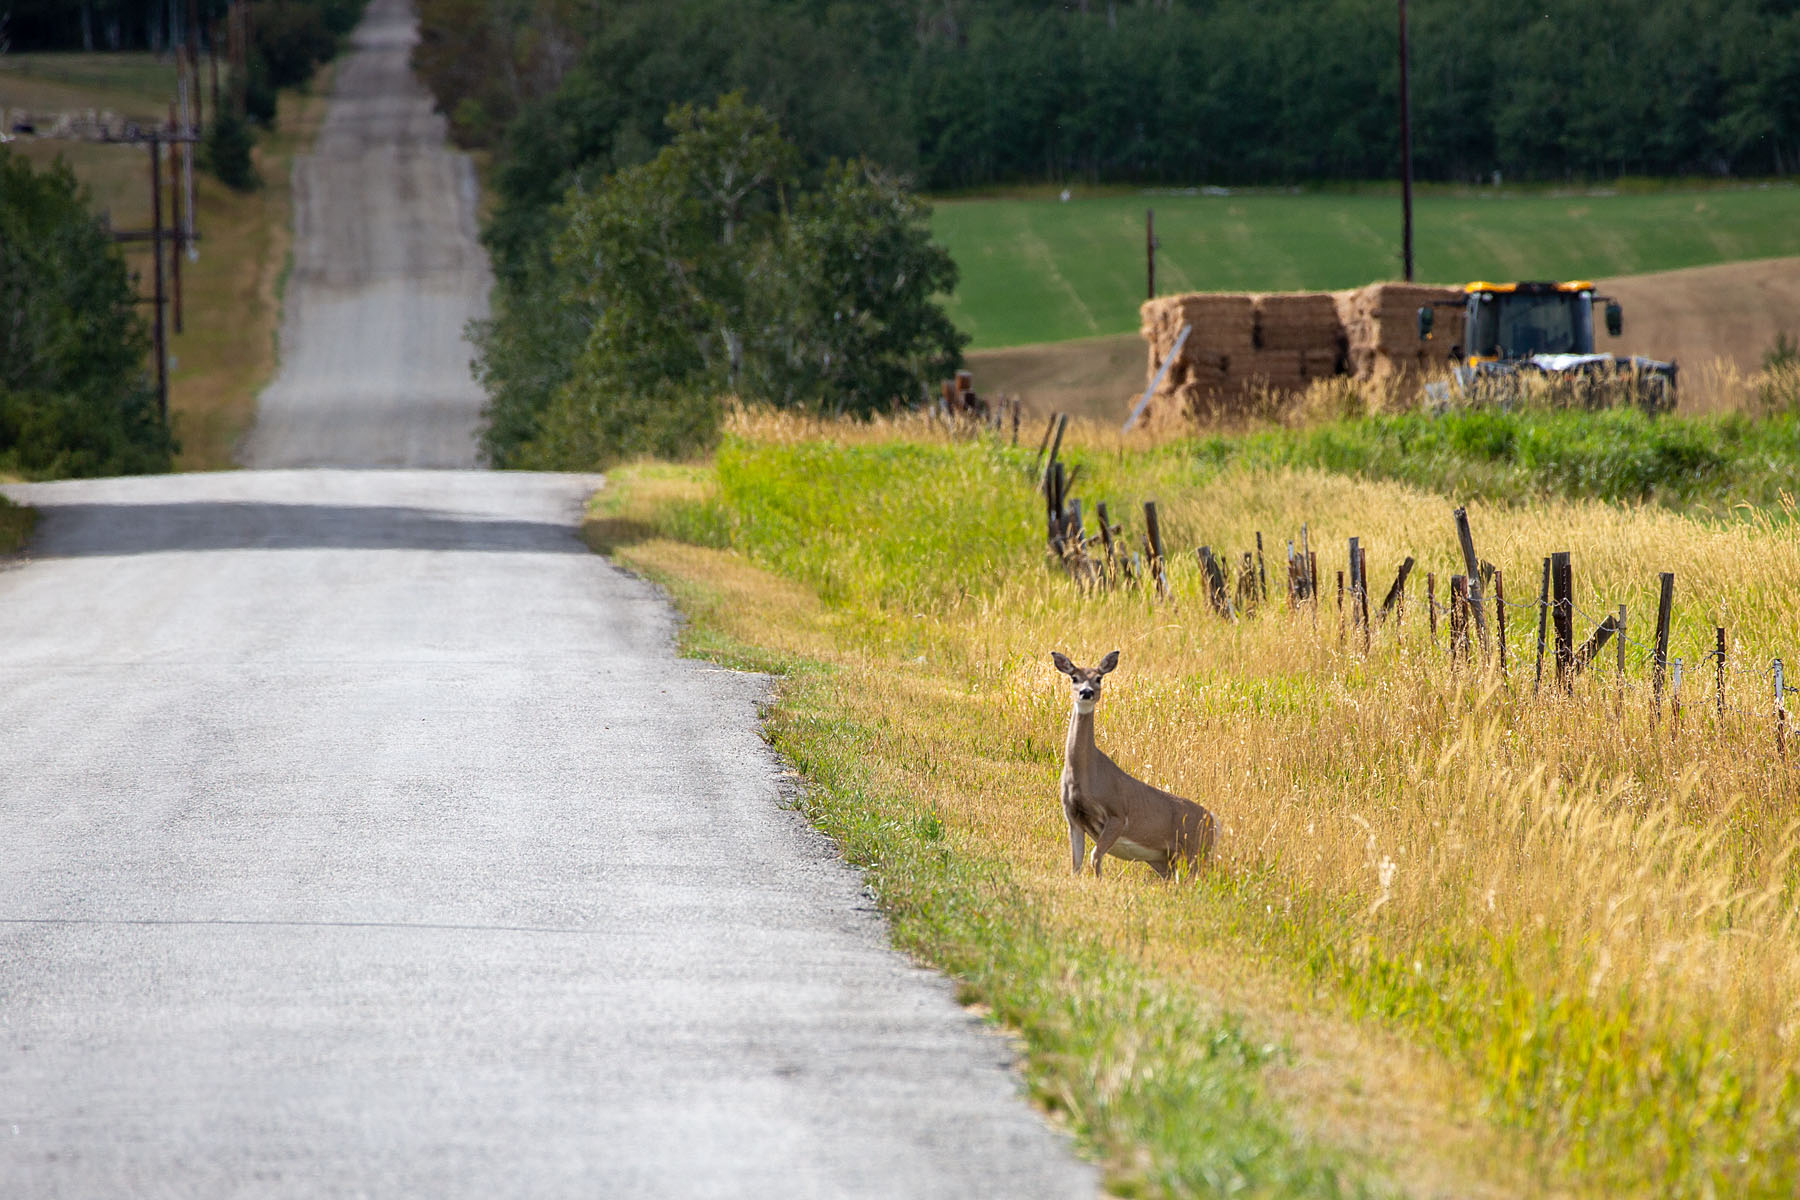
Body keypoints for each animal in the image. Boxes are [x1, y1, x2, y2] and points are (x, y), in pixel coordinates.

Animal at [1051, 651, 1216, 877]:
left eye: (1099, 678)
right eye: (1074, 677)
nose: (1086, 692)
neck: (1084, 777)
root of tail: (1214, 822)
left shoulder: (1118, 814)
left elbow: (1095, 856)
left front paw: (1098, 881)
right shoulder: (1073, 818)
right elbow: (1076, 864)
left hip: (1196, 851)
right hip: (1166, 859)